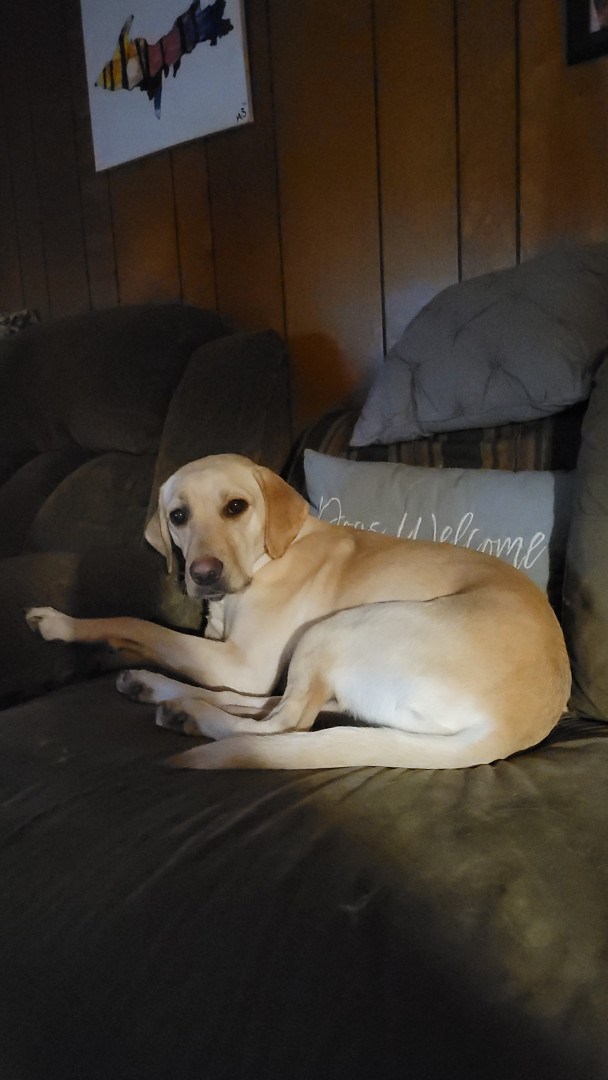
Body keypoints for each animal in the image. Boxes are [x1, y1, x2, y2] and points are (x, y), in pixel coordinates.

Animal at [26, 453, 571, 770]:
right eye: (178, 516)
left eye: (236, 507)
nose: (202, 574)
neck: (268, 557)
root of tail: (516, 726)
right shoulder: (232, 658)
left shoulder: (244, 663)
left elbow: (138, 622)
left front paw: (64, 624)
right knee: (269, 706)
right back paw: (154, 687)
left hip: (335, 630)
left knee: (281, 726)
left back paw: (188, 715)